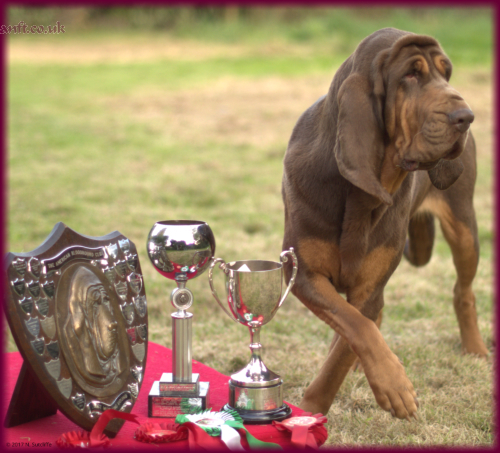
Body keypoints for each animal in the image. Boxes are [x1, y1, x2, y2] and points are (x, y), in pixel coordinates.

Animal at [282, 28, 488, 418]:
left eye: (446, 73)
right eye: (410, 75)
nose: (466, 117)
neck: (361, 195)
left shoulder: (369, 287)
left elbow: (350, 339)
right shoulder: (302, 274)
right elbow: (354, 325)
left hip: (465, 229)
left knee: (463, 292)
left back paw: (476, 350)